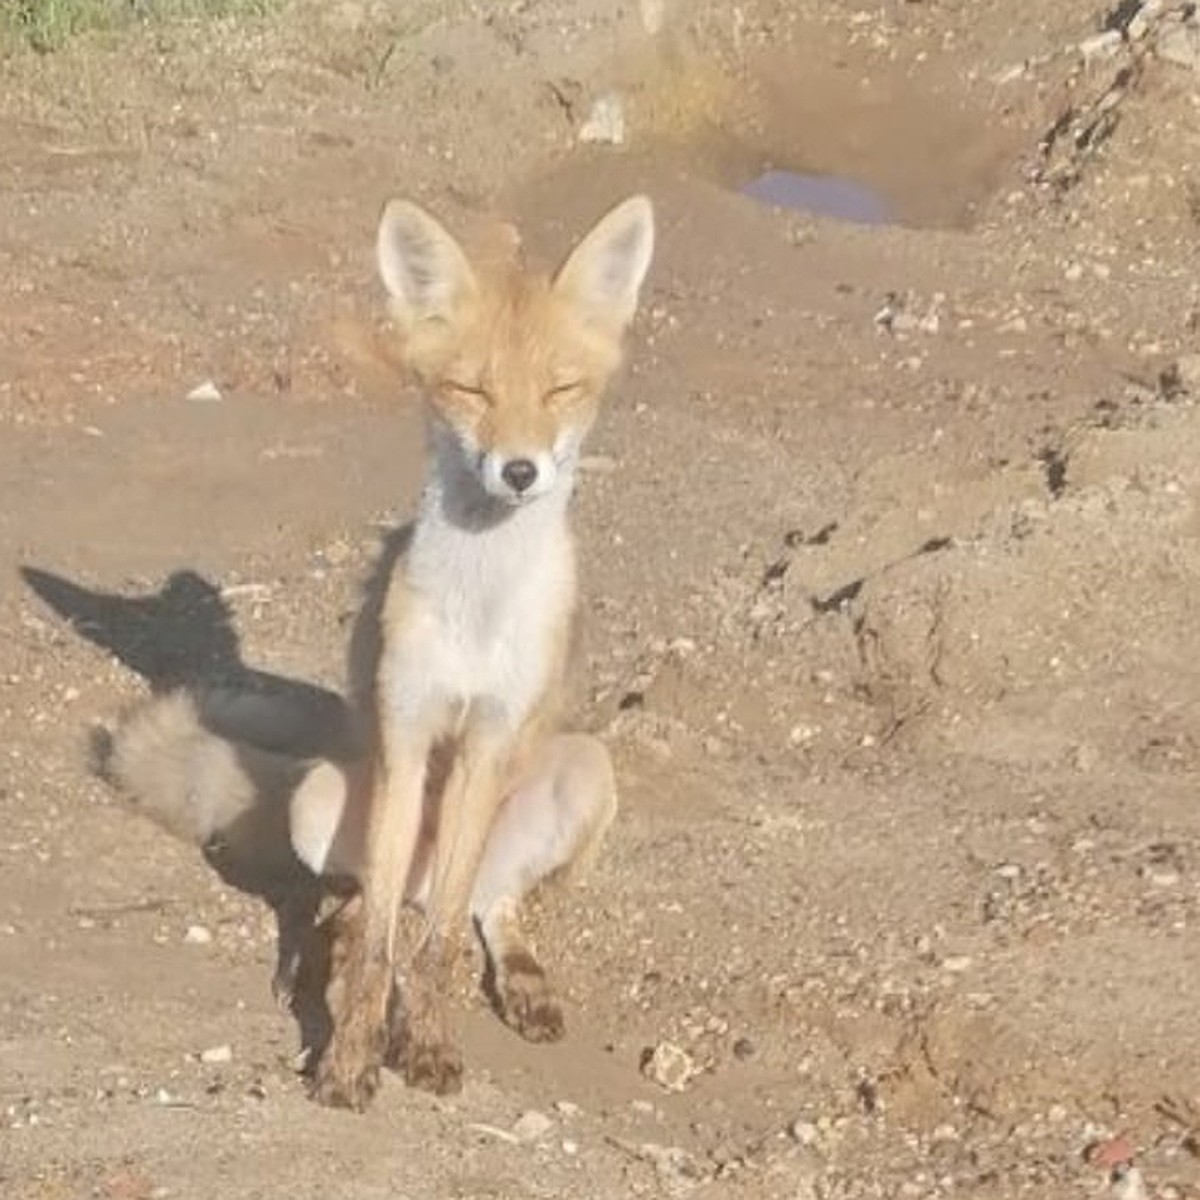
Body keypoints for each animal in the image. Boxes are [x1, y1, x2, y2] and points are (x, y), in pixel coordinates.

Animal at [102, 192, 657, 1108]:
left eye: (560, 390)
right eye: (470, 390)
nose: (519, 471)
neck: (477, 607)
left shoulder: (485, 743)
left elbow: (438, 952)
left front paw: (424, 1047)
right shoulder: (406, 730)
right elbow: (377, 958)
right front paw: (353, 1057)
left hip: (579, 774)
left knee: (481, 906)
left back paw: (522, 979)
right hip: (326, 800)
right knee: (365, 913)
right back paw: (330, 957)